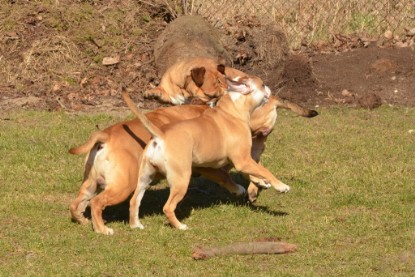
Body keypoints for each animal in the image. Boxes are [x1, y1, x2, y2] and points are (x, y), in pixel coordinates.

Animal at [127, 74, 292, 230]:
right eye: (262, 85)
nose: (269, 89)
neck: (233, 108)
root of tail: (161, 135)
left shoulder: (232, 162)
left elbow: (245, 173)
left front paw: (258, 182)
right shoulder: (242, 160)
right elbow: (264, 171)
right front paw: (281, 186)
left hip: (145, 178)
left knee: (134, 201)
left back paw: (136, 225)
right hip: (181, 179)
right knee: (167, 207)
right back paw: (180, 226)